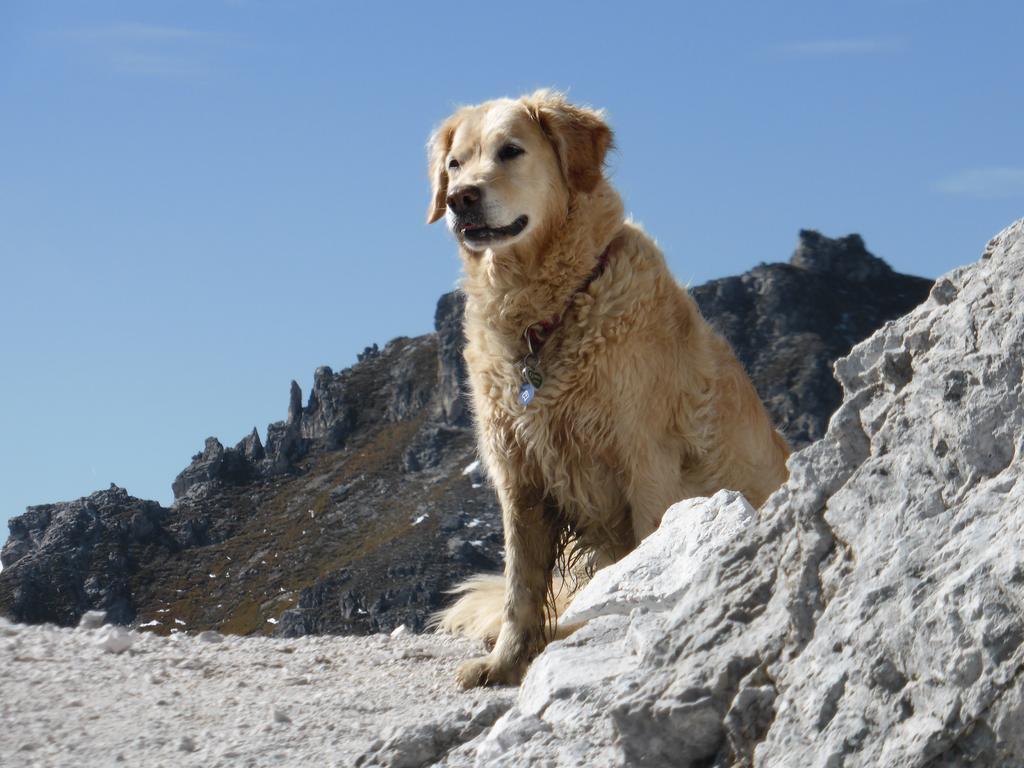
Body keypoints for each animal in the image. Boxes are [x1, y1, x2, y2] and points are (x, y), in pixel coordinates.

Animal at [428, 91, 786, 692]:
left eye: (510, 151)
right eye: (455, 164)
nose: (460, 200)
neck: (547, 315)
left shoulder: (647, 464)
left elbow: (644, 559)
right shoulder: (519, 475)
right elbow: (520, 587)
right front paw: (504, 664)